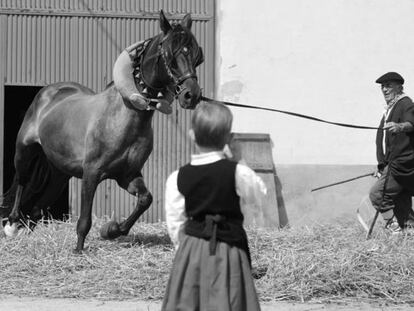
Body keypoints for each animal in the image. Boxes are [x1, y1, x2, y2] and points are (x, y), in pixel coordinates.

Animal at [0, 10, 205, 254]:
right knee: (22, 181)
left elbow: (145, 199)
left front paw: (112, 230)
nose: (191, 96)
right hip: (24, 151)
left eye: (197, 56)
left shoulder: (127, 175)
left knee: (39, 205)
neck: (123, 116)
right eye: (170, 55)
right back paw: (12, 225)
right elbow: (84, 219)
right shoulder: (91, 174)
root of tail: (49, 92)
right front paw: (79, 249)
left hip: (60, 172)